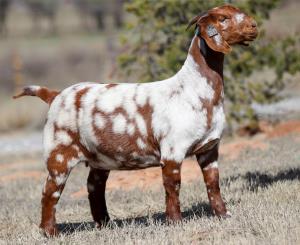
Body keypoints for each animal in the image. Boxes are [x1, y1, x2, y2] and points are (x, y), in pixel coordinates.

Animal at [14, 4, 258, 236]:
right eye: (223, 18)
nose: (254, 26)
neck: (193, 89)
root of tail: (54, 95)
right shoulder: (172, 151)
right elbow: (173, 187)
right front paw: (175, 222)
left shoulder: (210, 149)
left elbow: (213, 184)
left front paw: (223, 215)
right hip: (59, 156)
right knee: (49, 193)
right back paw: (50, 232)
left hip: (100, 159)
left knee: (94, 188)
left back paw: (105, 224)